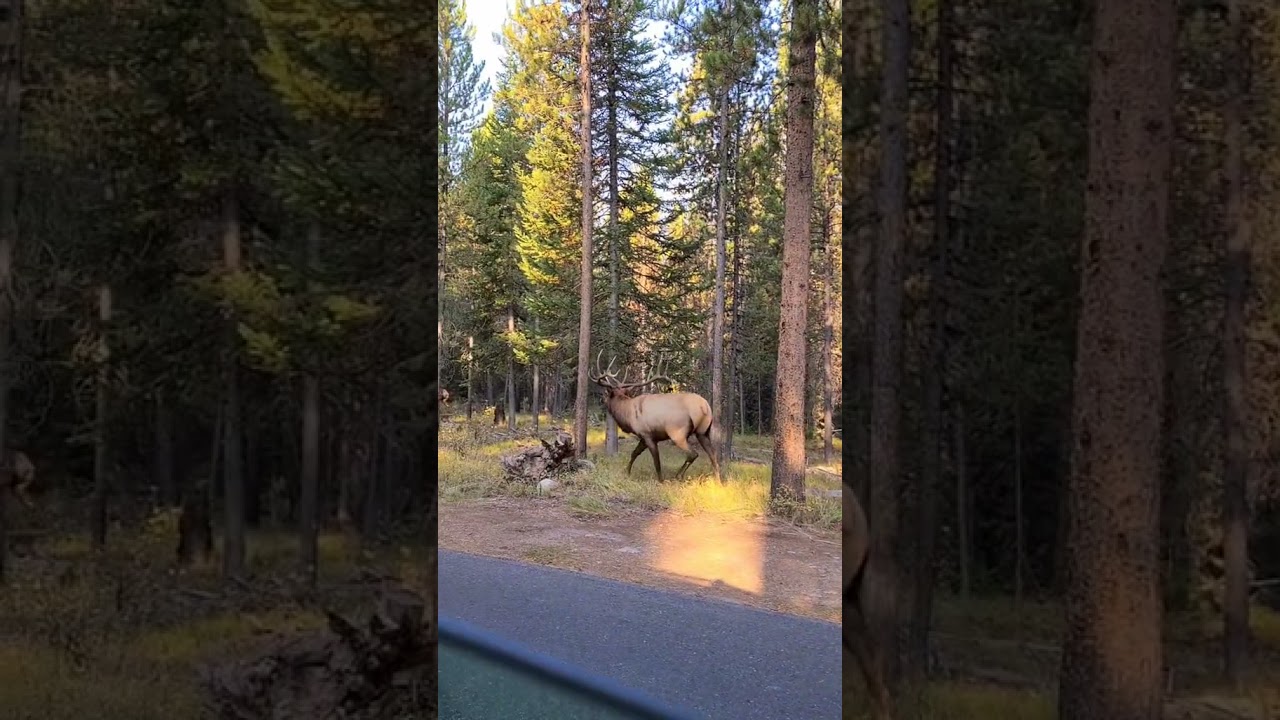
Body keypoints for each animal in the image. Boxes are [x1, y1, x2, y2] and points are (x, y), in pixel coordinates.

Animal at [588, 352, 723, 484]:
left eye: (606, 394)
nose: (602, 400)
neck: (627, 415)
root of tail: (704, 406)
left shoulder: (647, 435)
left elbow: (656, 461)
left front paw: (660, 480)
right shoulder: (644, 437)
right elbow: (634, 453)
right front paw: (627, 472)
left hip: (677, 432)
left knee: (693, 454)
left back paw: (678, 476)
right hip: (703, 432)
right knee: (713, 455)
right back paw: (718, 481)